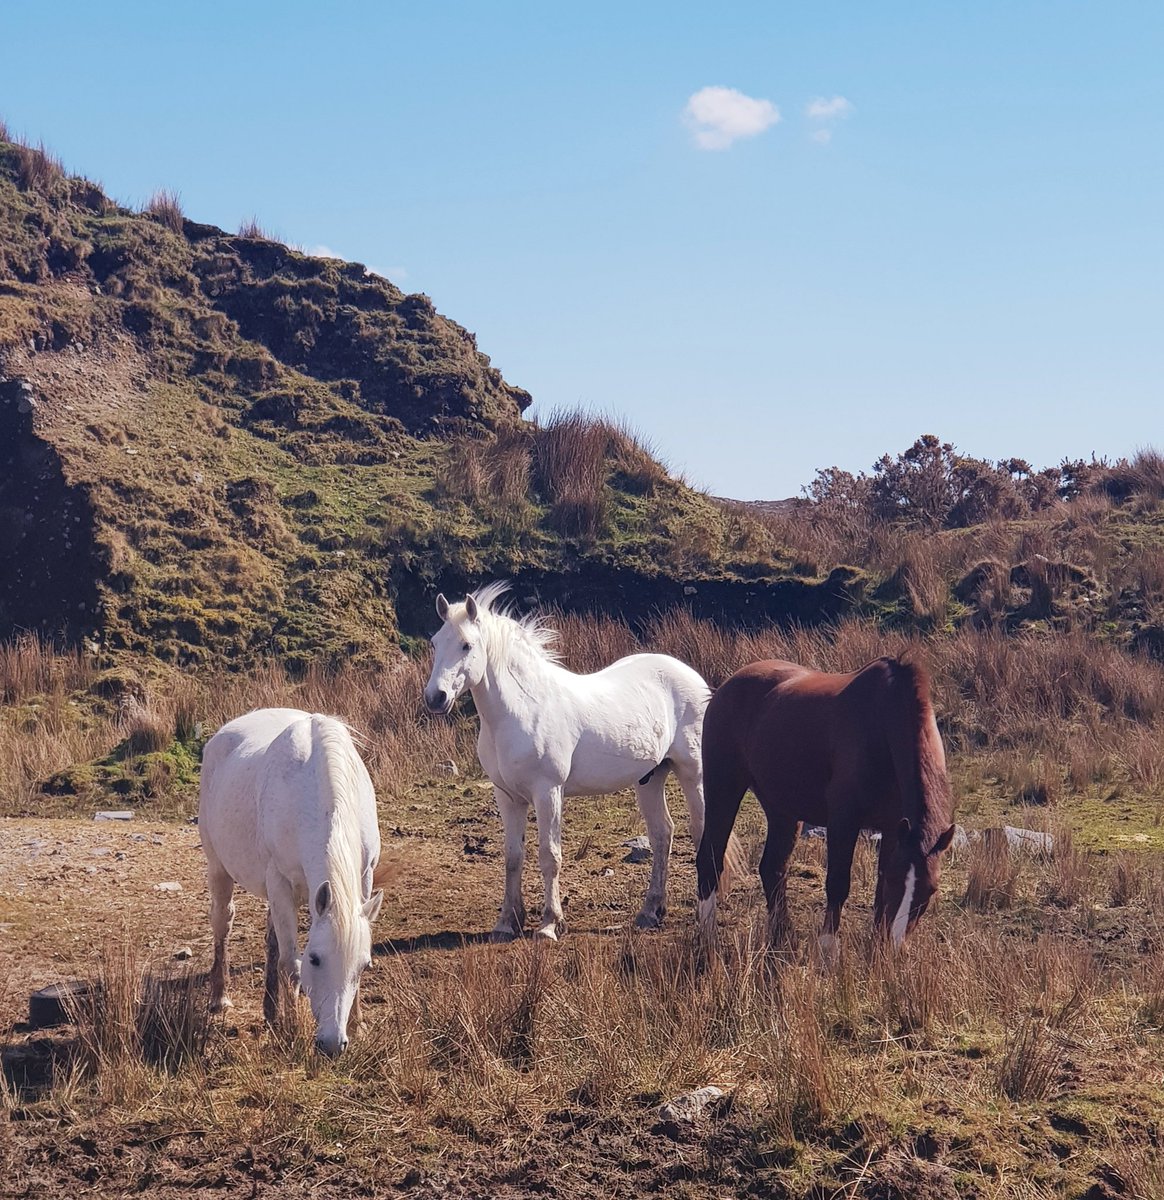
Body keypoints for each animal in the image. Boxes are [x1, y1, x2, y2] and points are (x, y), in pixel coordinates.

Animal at [198, 708, 384, 1056]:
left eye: (364, 965)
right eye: (315, 958)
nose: (332, 1043)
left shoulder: (364, 878)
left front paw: (359, 1026)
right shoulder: (280, 882)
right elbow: (291, 964)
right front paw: (292, 1031)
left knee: (271, 940)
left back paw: (271, 1010)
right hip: (218, 869)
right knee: (222, 923)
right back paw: (220, 997)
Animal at [423, 582, 715, 941]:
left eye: (466, 645)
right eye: (435, 642)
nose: (435, 698)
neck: (523, 708)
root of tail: (692, 677)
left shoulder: (548, 792)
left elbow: (549, 855)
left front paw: (550, 923)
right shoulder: (508, 797)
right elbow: (512, 856)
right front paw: (507, 923)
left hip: (693, 773)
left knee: (701, 832)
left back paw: (705, 914)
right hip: (650, 778)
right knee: (662, 834)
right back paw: (650, 912)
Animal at [695, 656, 955, 949]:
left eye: (930, 890)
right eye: (896, 880)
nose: (894, 944)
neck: (881, 727)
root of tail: (723, 688)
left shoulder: (893, 829)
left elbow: (879, 894)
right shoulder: (843, 822)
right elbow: (838, 885)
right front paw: (828, 951)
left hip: (782, 811)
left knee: (772, 868)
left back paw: (783, 937)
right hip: (723, 790)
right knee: (710, 859)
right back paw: (708, 938)